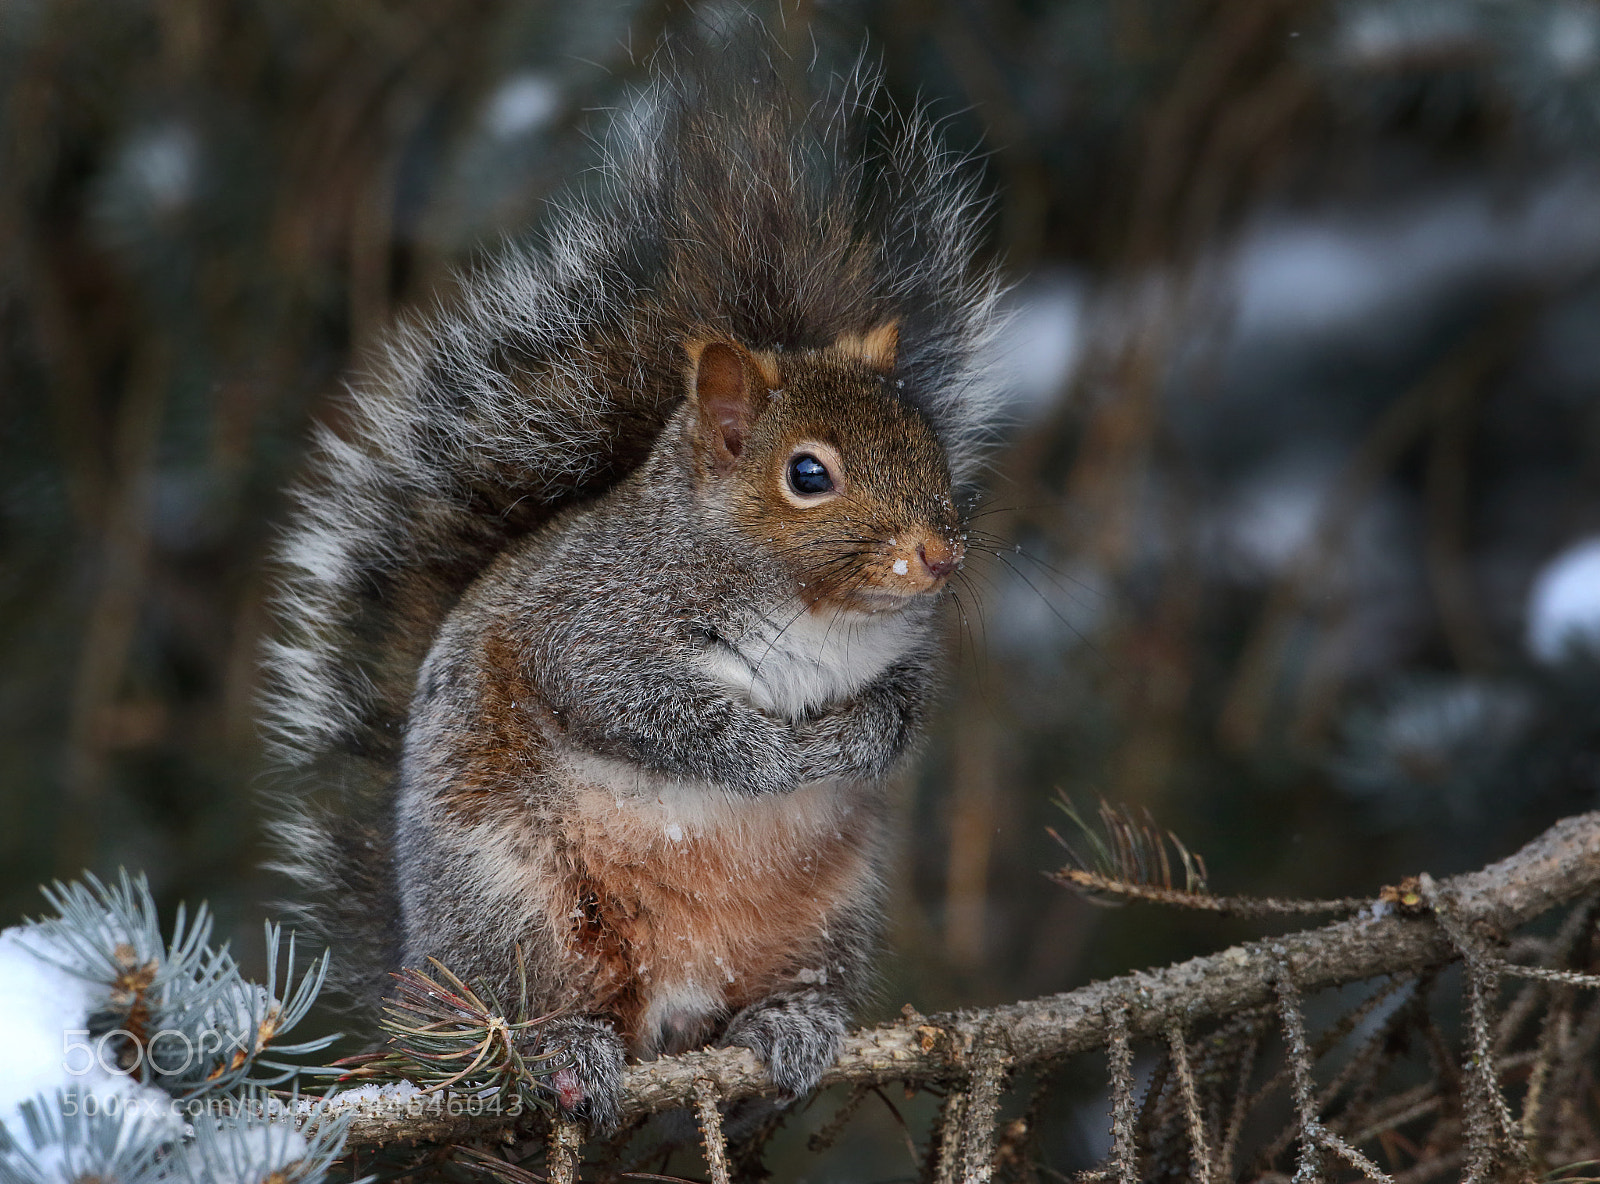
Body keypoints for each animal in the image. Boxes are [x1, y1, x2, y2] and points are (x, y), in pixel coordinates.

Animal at [264, 33, 1002, 1133]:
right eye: (808, 474)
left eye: (929, 443)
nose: (941, 554)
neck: (817, 611)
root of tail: (417, 983)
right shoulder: (592, 622)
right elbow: (642, 705)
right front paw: (771, 756)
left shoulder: (903, 654)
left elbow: (903, 710)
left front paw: (857, 740)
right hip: (518, 907)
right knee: (535, 1013)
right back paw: (563, 1047)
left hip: (826, 917)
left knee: (761, 1000)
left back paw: (788, 1025)